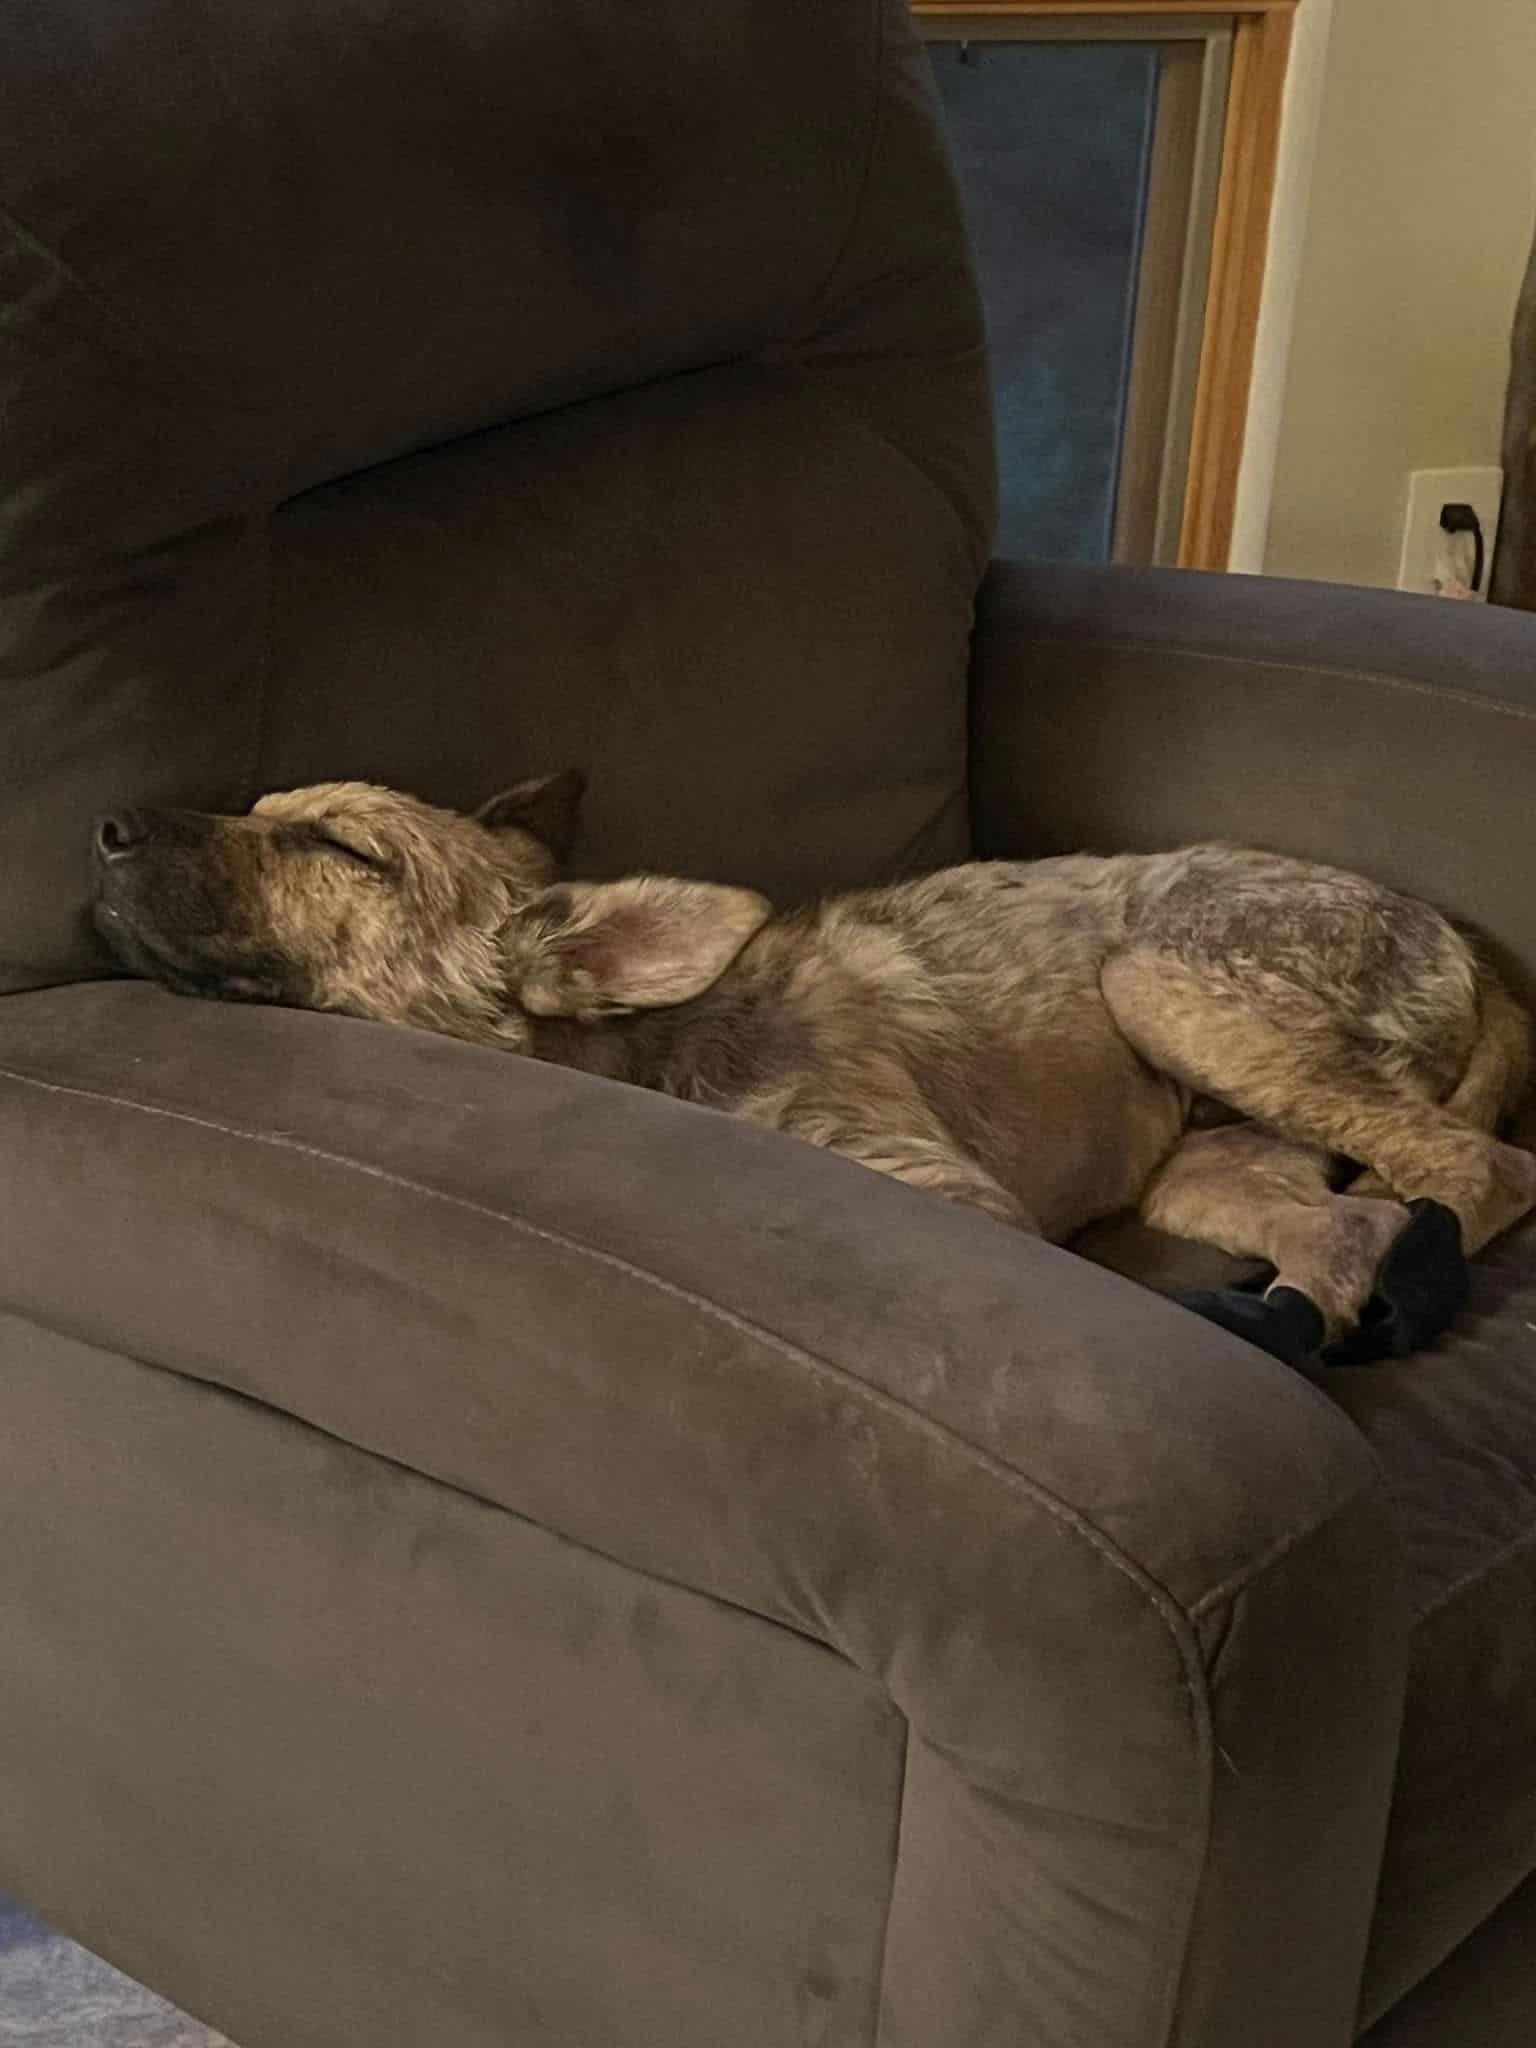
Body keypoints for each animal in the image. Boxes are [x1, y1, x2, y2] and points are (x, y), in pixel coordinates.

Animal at [96, 774, 1536, 1368]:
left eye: (343, 850)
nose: (102, 823)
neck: (651, 1051)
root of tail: (1464, 942)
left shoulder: (954, 1194)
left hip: (1165, 982)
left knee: (1479, 1166)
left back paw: (1420, 1266)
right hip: (1211, 1159)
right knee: (1350, 1225)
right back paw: (1301, 1312)